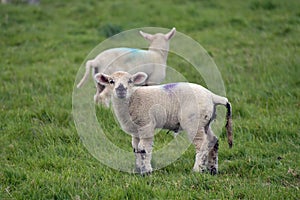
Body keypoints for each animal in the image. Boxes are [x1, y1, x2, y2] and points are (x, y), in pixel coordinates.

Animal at [95, 70, 233, 175]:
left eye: (130, 81)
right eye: (111, 81)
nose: (121, 90)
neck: (132, 99)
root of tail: (212, 96)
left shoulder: (146, 124)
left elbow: (143, 148)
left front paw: (146, 171)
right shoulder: (135, 130)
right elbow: (135, 148)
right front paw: (138, 168)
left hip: (195, 122)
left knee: (202, 144)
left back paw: (197, 170)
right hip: (205, 122)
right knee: (213, 140)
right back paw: (212, 169)